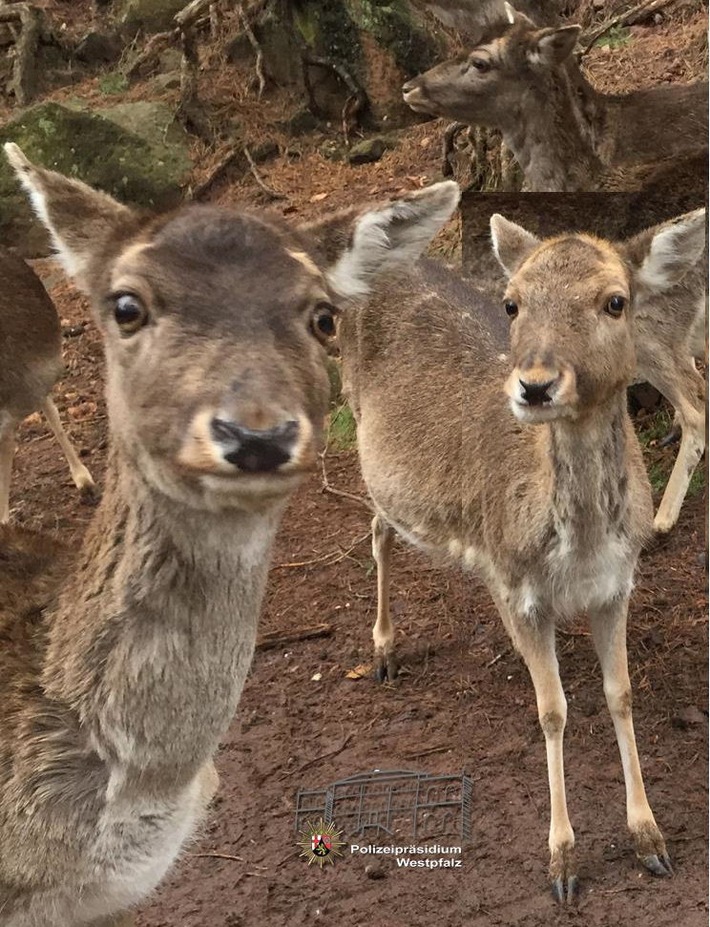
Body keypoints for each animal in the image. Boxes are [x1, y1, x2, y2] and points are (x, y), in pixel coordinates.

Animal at [340, 201, 708, 900]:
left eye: (616, 301)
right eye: (512, 303)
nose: (535, 386)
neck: (579, 550)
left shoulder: (618, 584)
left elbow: (621, 694)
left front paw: (650, 839)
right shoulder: (523, 589)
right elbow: (553, 710)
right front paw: (562, 860)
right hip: (364, 444)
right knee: (376, 529)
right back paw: (383, 650)